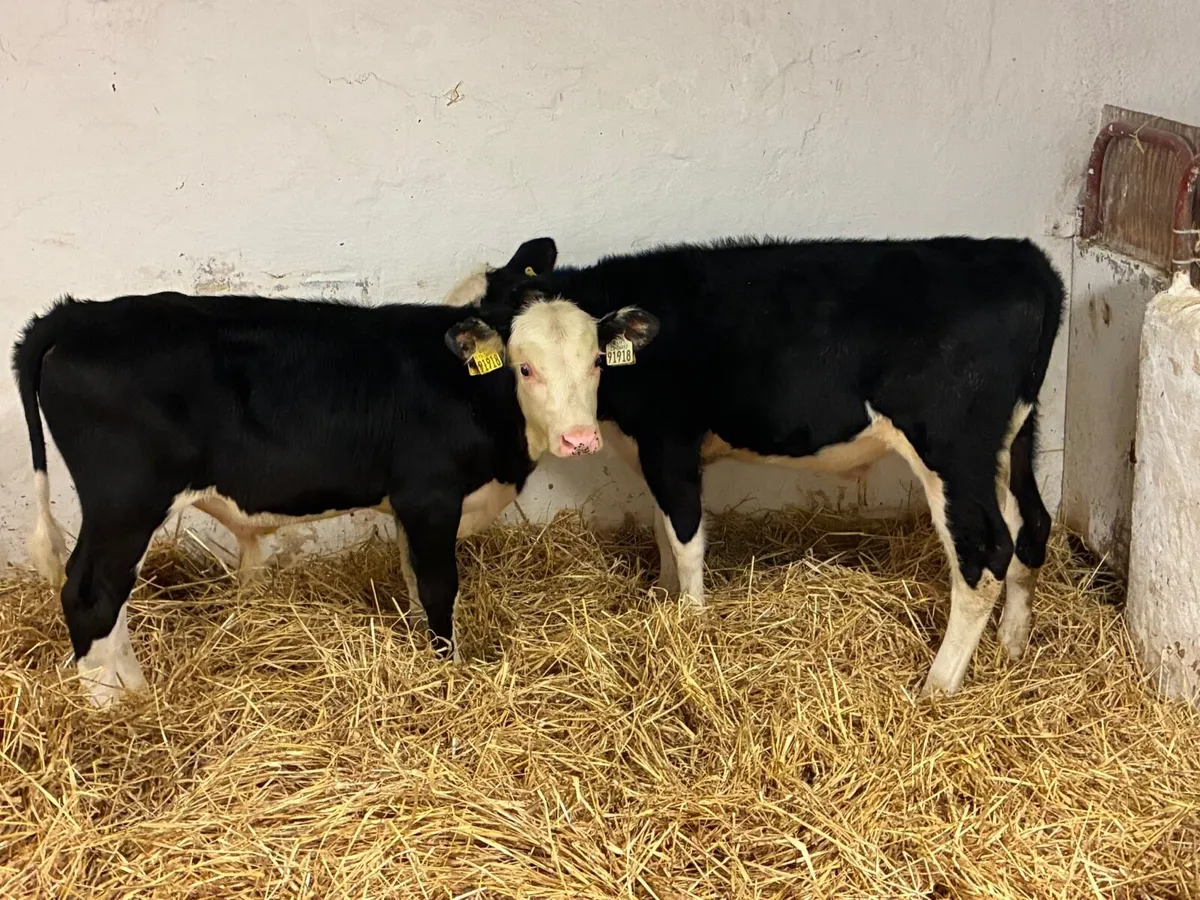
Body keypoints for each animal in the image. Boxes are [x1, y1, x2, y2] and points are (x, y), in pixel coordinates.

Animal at [12, 278, 659, 707]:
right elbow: (439, 588)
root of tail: (76, 316)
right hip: (126, 501)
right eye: (525, 368)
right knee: (90, 595)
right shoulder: (430, 495)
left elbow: (413, 580)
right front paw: (449, 672)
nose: (580, 439)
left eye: (598, 361)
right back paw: (119, 707)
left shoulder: (408, 507)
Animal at [453, 235, 1064, 697]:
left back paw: (938, 686)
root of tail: (1023, 259)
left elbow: (685, 536)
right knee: (1030, 524)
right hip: (1014, 437)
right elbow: (661, 529)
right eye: (524, 365)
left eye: (596, 361)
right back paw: (1012, 647)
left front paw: (692, 622)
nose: (576, 439)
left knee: (985, 553)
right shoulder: (654, 451)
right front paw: (663, 604)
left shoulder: (670, 441)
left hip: (951, 448)